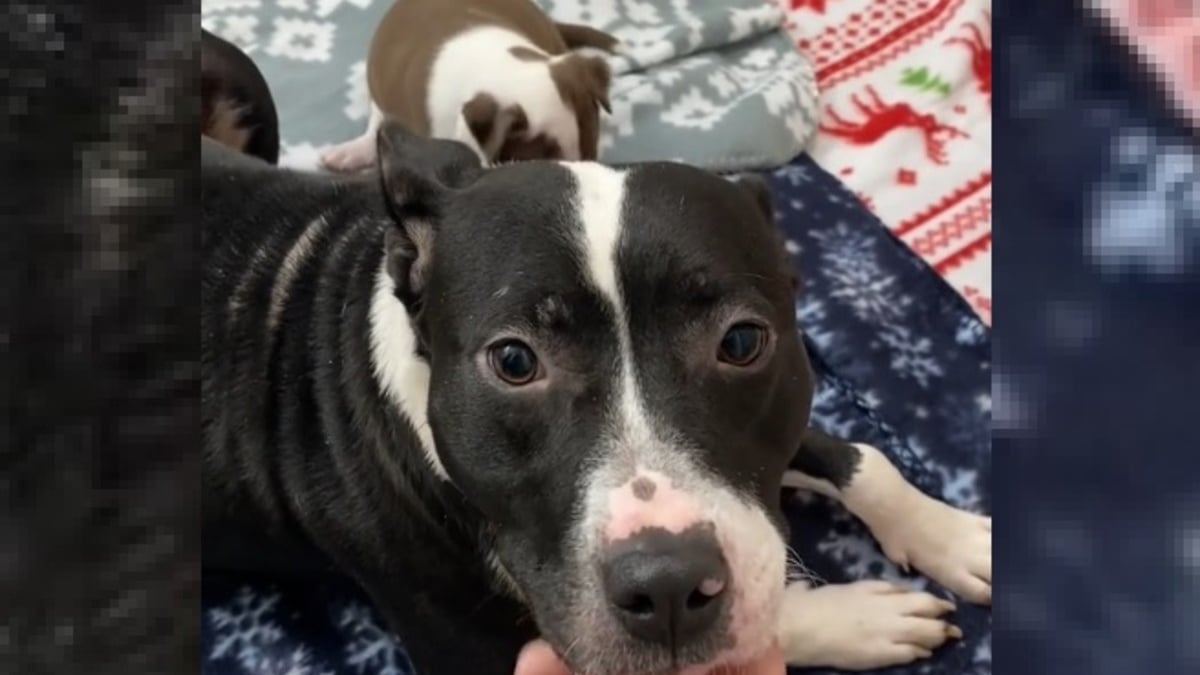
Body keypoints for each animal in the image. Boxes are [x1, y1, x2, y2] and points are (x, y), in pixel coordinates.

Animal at [204, 126, 993, 672]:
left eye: (742, 342)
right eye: (514, 360)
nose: (670, 585)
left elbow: (860, 459)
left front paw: (956, 535)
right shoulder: (478, 651)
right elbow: (765, 620)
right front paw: (856, 619)